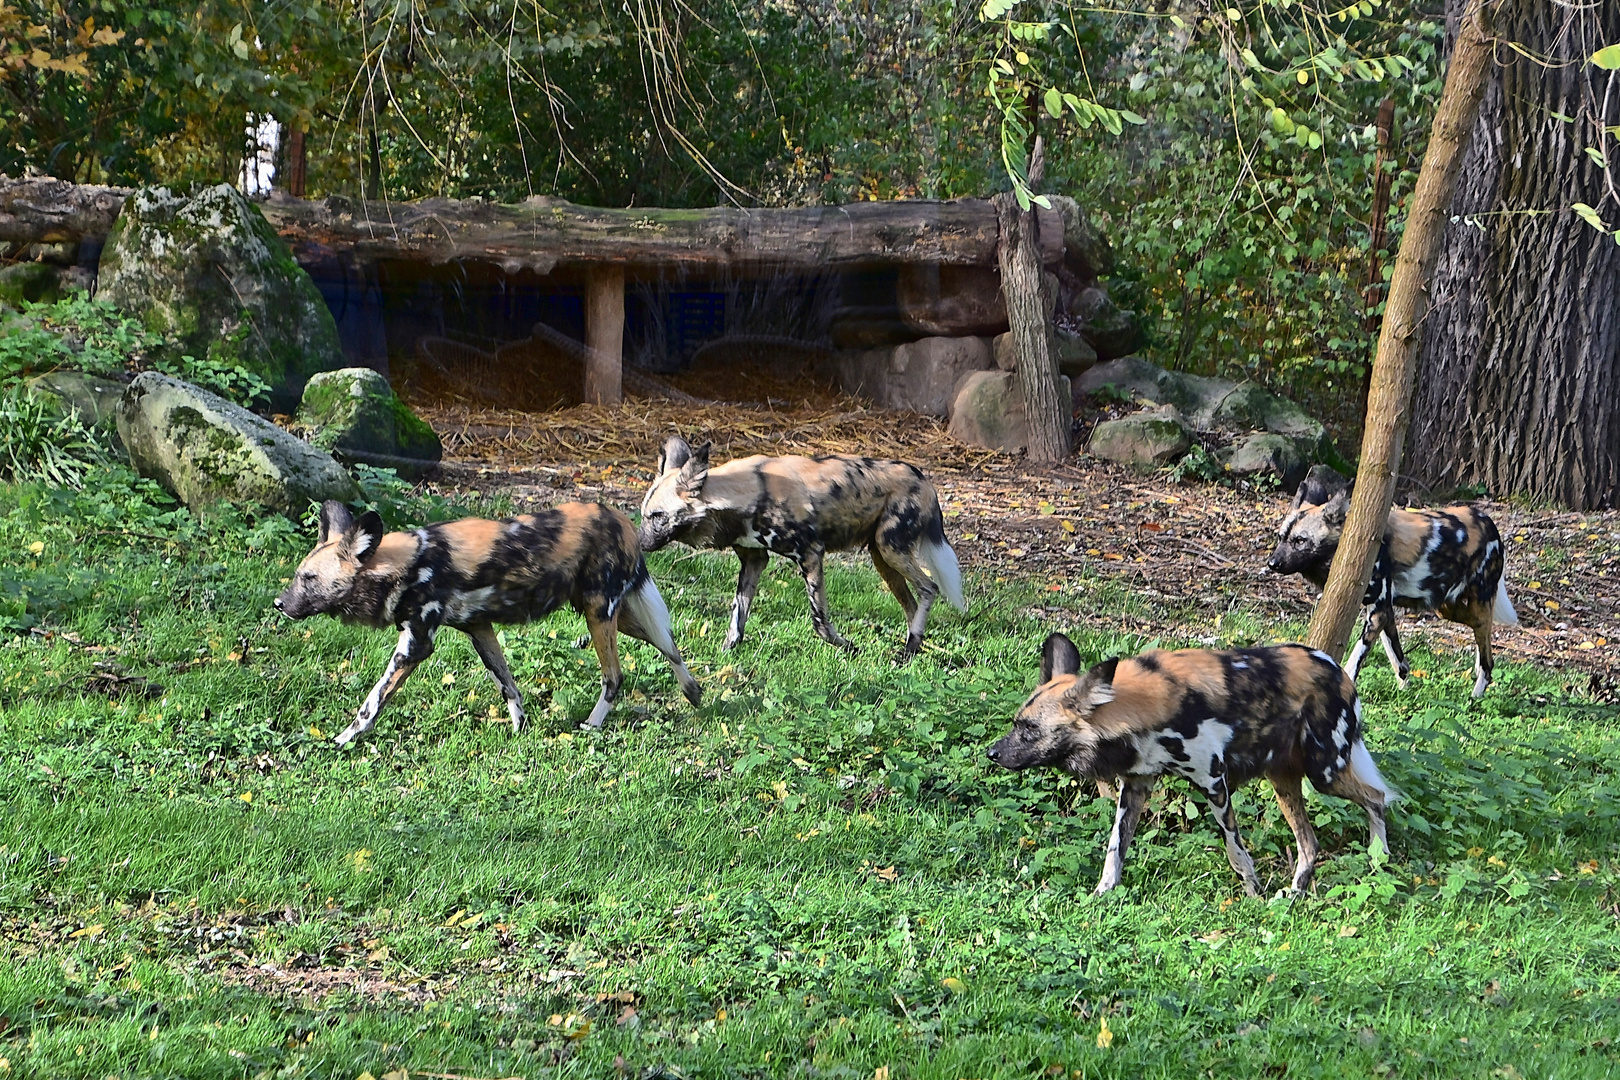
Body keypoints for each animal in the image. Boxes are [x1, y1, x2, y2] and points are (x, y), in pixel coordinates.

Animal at [273, 501, 703, 744]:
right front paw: (520, 731)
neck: (404, 566)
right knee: (670, 645)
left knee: (614, 676)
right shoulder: (479, 629)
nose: (278, 603)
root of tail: (621, 519)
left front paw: (343, 740)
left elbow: (371, 703)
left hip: (600, 613)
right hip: (618, 614)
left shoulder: (415, 645)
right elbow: (508, 686)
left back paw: (592, 727)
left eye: (309, 579)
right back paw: (694, 693)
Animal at [631, 433, 959, 654]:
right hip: (883, 558)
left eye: (657, 516)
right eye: (644, 514)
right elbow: (738, 615)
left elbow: (820, 621)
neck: (742, 497)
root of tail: (924, 479)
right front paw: (725, 653)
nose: (638, 544)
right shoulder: (754, 561)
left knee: (929, 588)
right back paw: (911, 650)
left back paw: (908, 650)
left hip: (891, 550)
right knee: (911, 602)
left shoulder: (811, 555)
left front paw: (847, 646)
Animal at [984, 634, 1393, 893]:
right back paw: (1292, 896)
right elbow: (1115, 850)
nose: (992, 753)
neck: (1136, 710)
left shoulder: (1214, 783)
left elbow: (1236, 851)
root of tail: (1338, 668)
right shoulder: (1135, 787)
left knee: (1376, 798)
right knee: (1309, 843)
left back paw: (1379, 860)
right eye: (1016, 723)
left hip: (1324, 771)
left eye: (1029, 729)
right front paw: (1102, 895)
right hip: (1284, 779)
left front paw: (1253, 894)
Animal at [1263, 469, 1516, 696]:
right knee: (1482, 637)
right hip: (1446, 607)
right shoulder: (1384, 611)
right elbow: (1399, 660)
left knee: (1487, 657)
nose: (1272, 563)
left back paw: (1476, 697)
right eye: (1281, 537)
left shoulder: (1378, 612)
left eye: (1300, 540)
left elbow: (1354, 660)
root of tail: (1489, 523)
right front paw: (1404, 692)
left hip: (1470, 605)